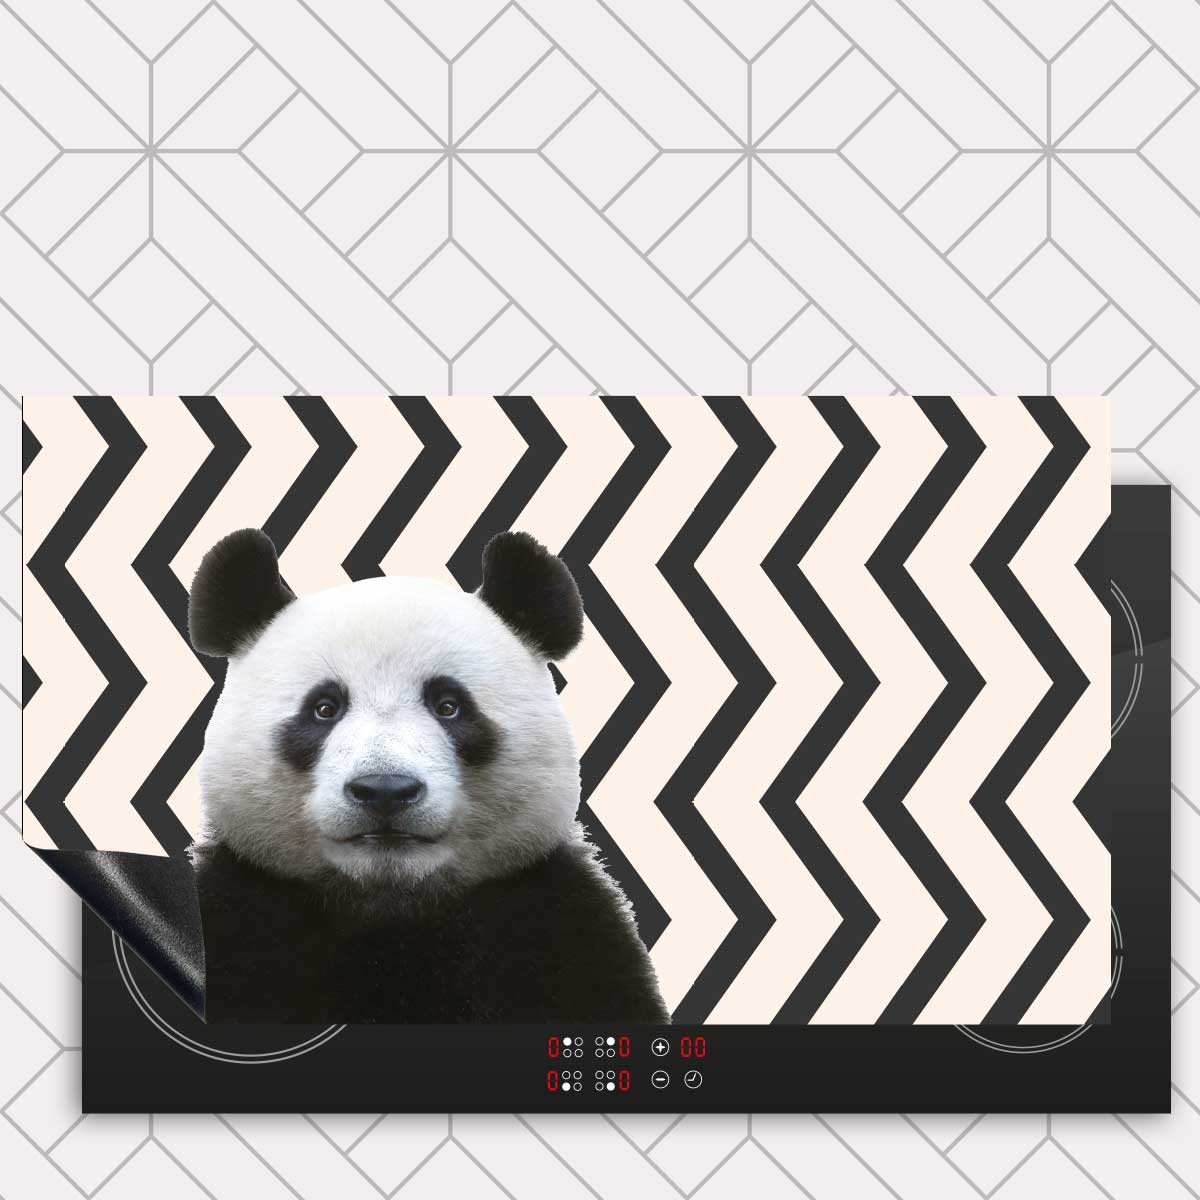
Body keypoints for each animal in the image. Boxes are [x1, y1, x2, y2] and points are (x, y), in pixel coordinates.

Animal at [187, 527, 669, 1025]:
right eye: (324, 708)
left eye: (449, 706)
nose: (384, 790)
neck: (393, 908)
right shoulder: (238, 920)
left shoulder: (559, 926)